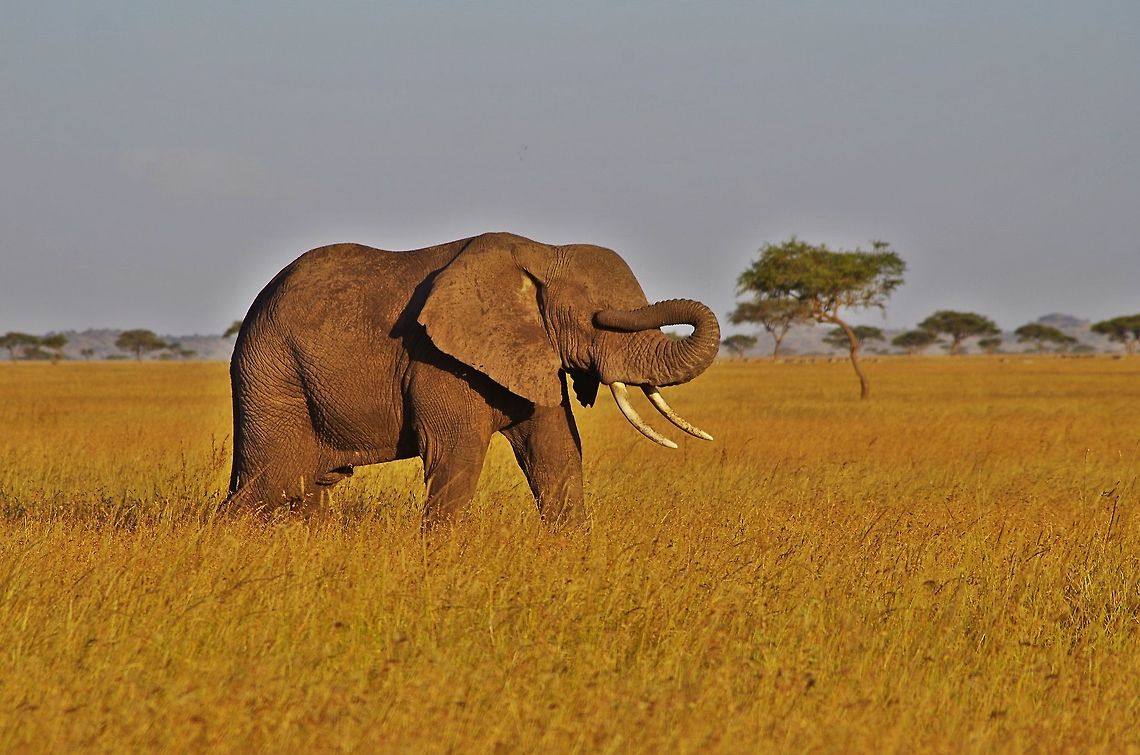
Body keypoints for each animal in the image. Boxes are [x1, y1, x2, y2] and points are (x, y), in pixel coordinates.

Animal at [226, 231, 720, 528]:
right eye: (597, 318)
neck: (543, 251)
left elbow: (557, 452)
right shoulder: (437, 360)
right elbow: (455, 454)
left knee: (306, 486)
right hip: (273, 374)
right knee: (271, 482)